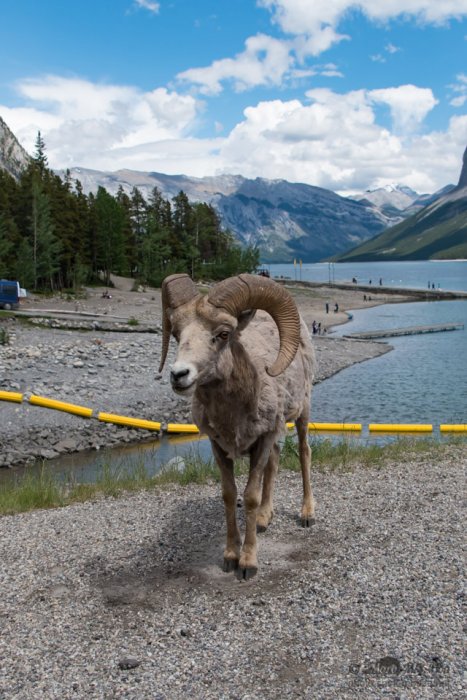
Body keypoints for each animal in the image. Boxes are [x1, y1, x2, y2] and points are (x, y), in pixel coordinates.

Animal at [159, 273, 316, 579]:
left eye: (223, 334)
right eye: (177, 334)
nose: (179, 375)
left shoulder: (263, 437)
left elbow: (250, 497)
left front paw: (248, 563)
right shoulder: (219, 445)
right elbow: (230, 495)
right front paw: (230, 557)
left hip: (302, 411)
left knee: (304, 453)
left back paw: (307, 515)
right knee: (275, 462)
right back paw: (265, 519)